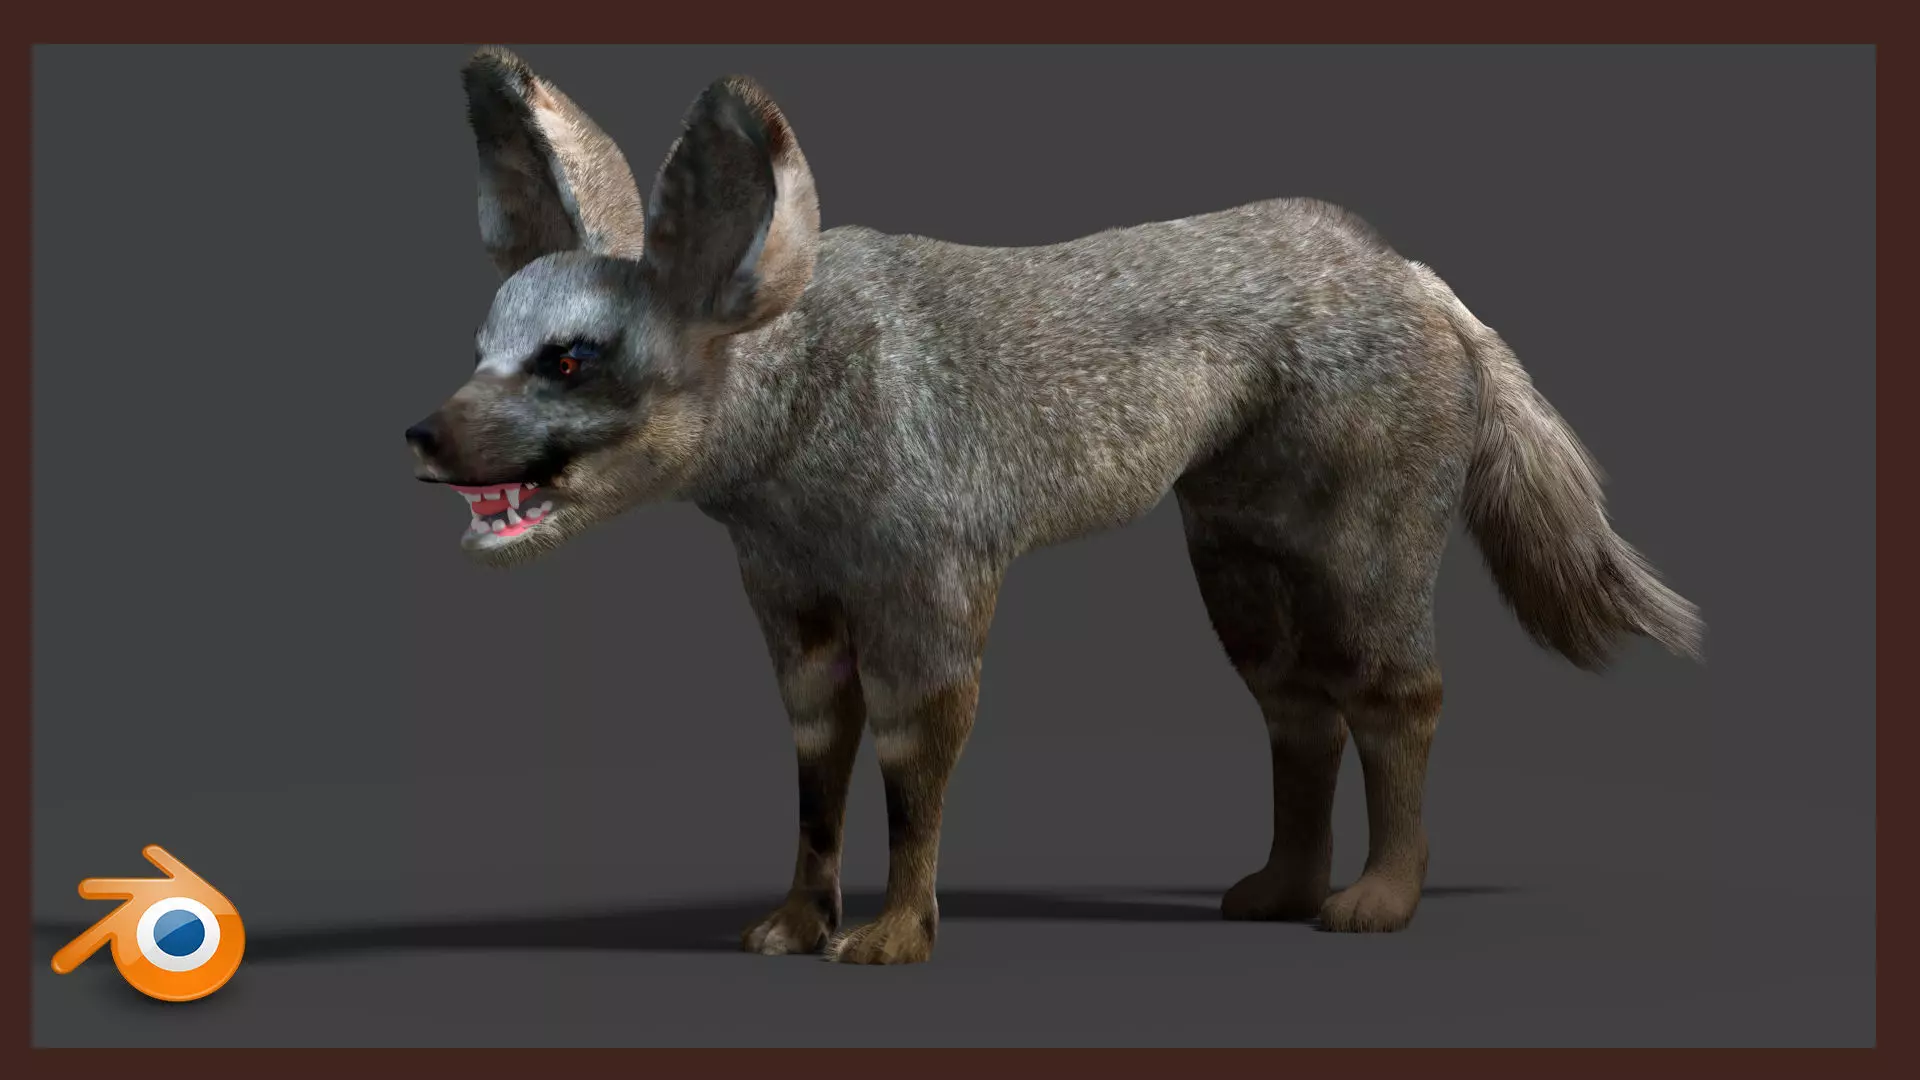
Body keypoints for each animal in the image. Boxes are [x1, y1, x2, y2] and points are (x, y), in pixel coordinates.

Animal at [404, 46, 1704, 965]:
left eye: (571, 360)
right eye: (480, 350)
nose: (422, 435)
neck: (801, 432)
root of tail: (1420, 278)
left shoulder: (931, 591)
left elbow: (913, 767)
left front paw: (893, 936)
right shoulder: (793, 606)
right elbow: (818, 773)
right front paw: (796, 924)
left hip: (1363, 552)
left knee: (1397, 696)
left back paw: (1376, 899)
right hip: (1238, 561)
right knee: (1299, 708)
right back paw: (1280, 891)